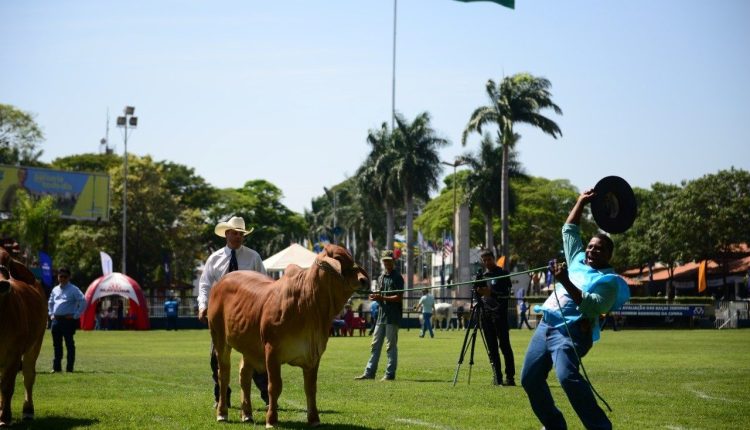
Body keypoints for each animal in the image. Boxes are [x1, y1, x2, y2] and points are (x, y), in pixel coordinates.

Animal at [0, 247, 47, 424]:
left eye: (7, 261)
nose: (3, 284)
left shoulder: (14, 354)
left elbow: (7, 387)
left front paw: (5, 417)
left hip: (36, 343)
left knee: (28, 375)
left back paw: (28, 410)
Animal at [209, 244, 370, 428]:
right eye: (339, 258)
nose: (364, 279)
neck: (308, 305)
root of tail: (223, 280)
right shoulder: (272, 351)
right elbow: (274, 386)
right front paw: (271, 420)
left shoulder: (313, 355)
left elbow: (310, 388)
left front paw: (314, 419)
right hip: (219, 338)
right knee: (223, 374)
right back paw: (222, 413)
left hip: (250, 346)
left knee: (244, 375)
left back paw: (247, 414)